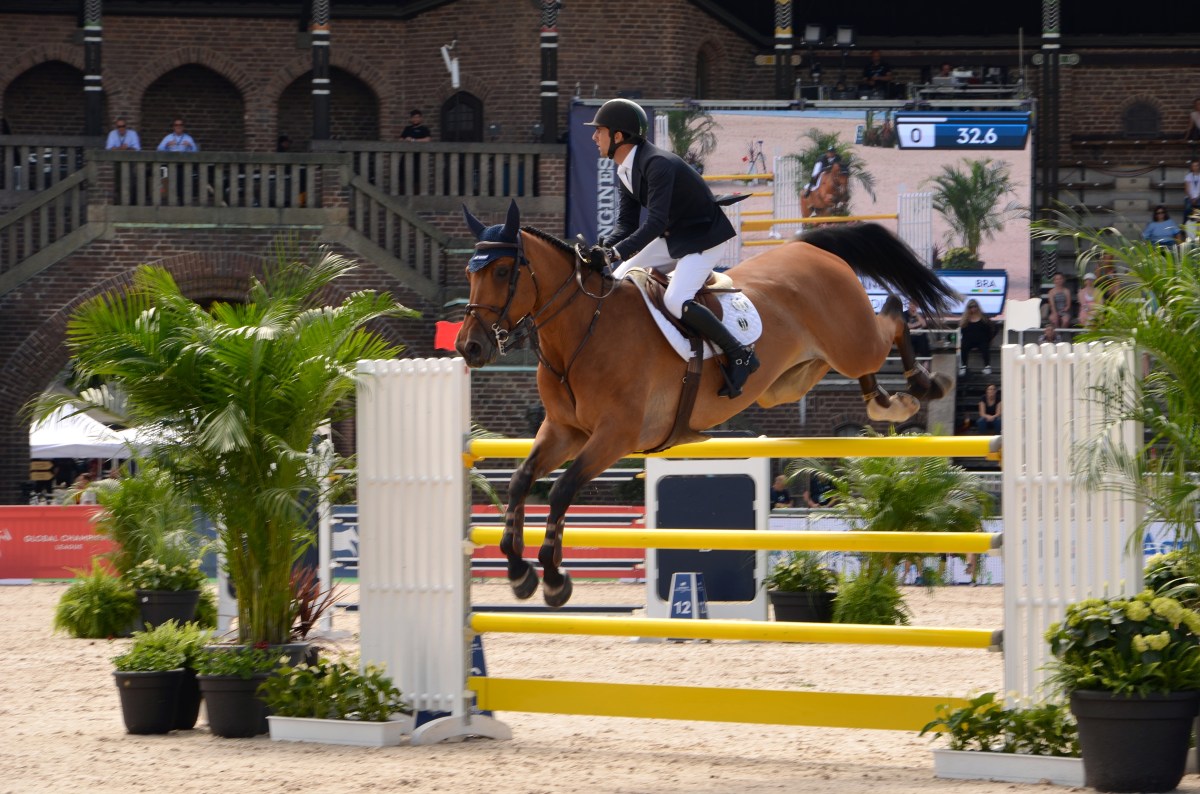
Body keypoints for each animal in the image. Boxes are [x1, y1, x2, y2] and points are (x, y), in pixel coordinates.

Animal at [456, 201, 957, 607]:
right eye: (469, 273)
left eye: (502, 272)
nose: (469, 347)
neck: (584, 329)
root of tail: (811, 250)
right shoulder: (564, 431)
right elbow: (521, 480)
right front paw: (518, 571)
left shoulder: (615, 436)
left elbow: (561, 490)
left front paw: (554, 578)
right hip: (794, 377)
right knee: (858, 361)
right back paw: (886, 402)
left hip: (851, 342)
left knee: (891, 317)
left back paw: (926, 384)